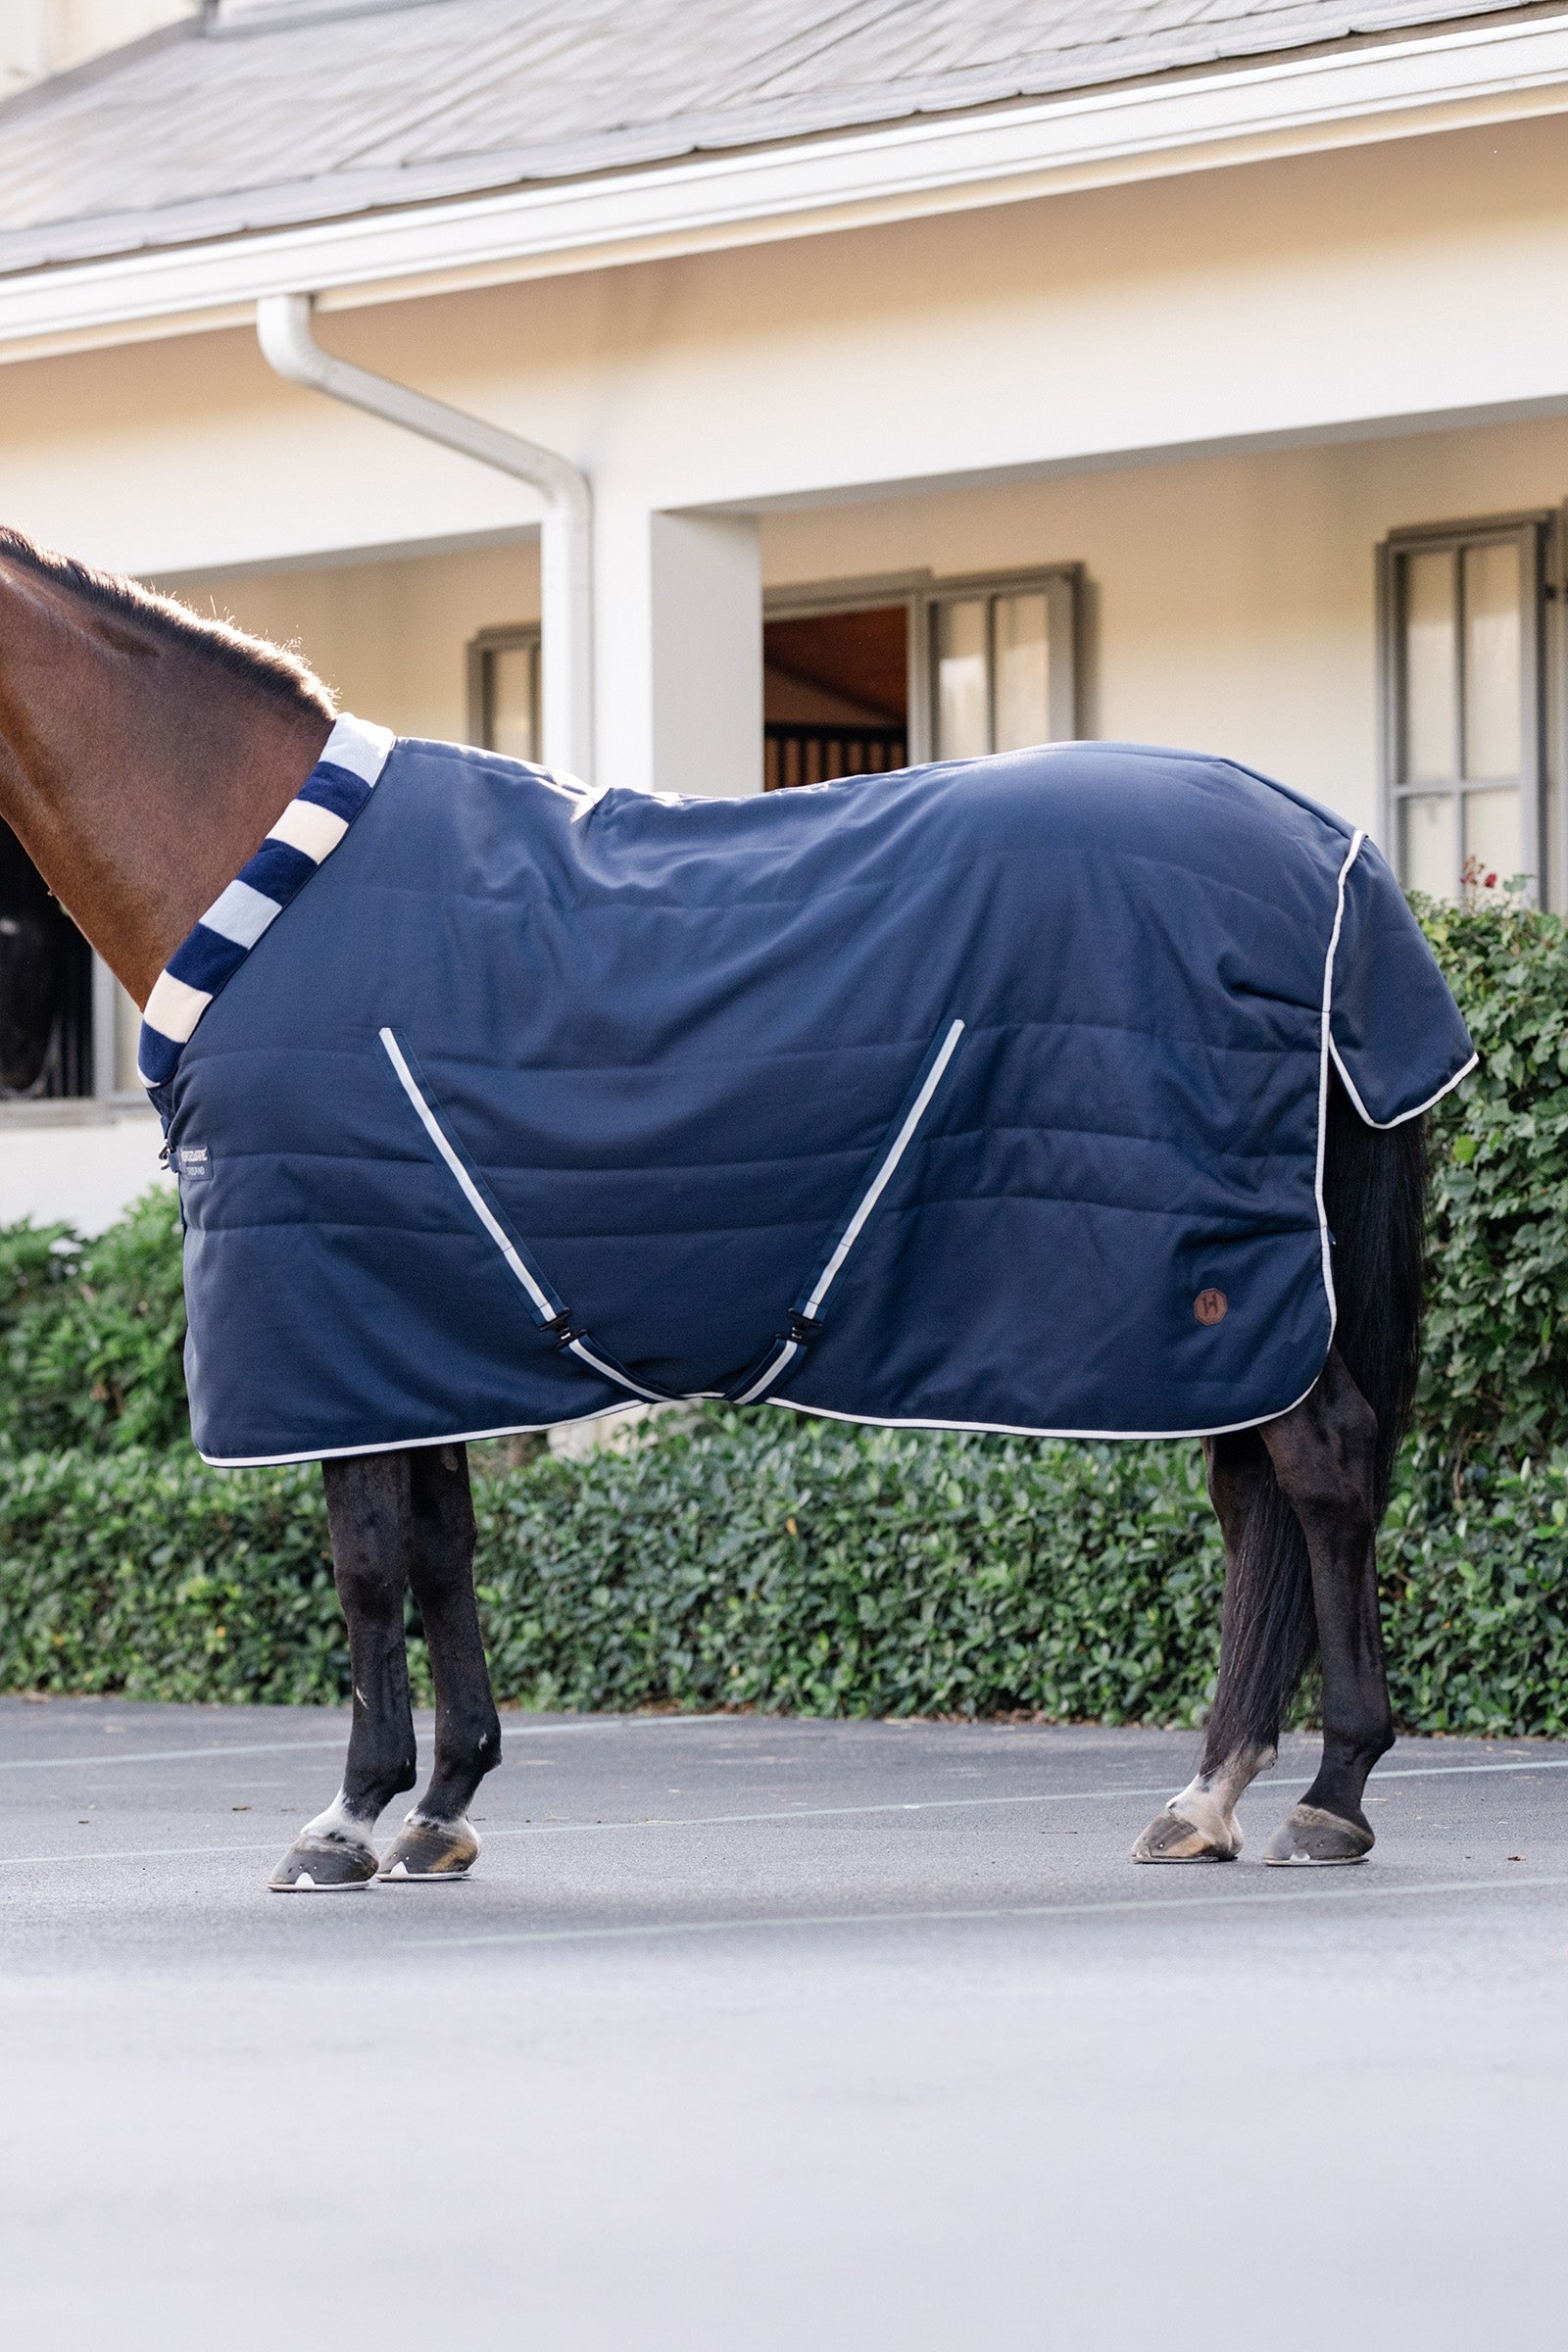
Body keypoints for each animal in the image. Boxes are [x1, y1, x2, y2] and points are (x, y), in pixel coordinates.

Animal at [0, 524, 1471, 1888]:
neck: (272, 885)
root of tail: (1327, 858)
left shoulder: (328, 1308)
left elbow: (368, 1561)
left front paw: (350, 1818)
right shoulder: (417, 1328)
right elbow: (440, 1548)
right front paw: (442, 1805)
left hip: (1227, 1290)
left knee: (1323, 1470)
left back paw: (1332, 1794)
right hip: (1233, 1301)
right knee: (1254, 1499)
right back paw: (1206, 1796)